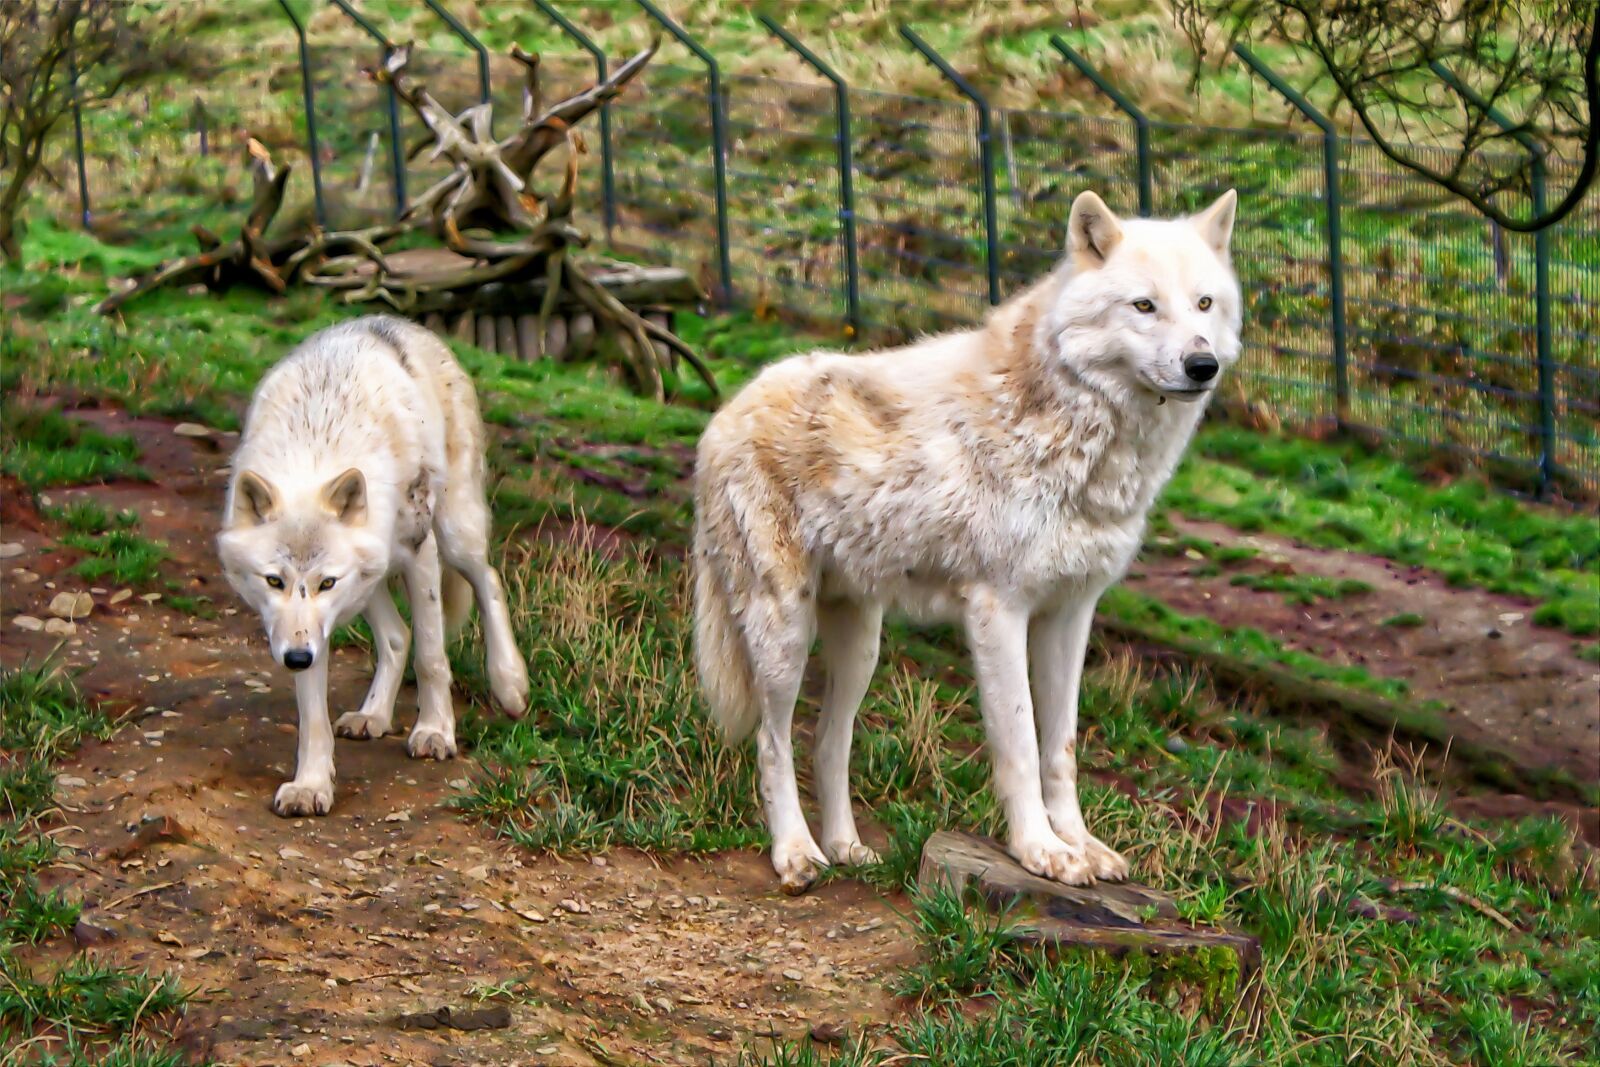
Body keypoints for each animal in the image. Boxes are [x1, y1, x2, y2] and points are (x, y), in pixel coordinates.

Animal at [218, 315, 529, 817]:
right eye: (274, 580)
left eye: (326, 581)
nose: (297, 658)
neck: (316, 448)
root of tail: (398, 323)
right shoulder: (308, 630)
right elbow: (313, 715)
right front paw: (310, 785)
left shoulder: (419, 551)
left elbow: (432, 657)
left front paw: (436, 732)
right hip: (372, 580)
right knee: (396, 635)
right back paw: (373, 715)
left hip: (454, 533)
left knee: (488, 580)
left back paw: (510, 683)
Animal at [693, 189, 1240, 892]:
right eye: (1144, 306)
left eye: (1204, 304)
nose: (1203, 365)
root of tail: (723, 413)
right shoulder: (998, 612)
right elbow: (1022, 744)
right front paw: (1041, 852)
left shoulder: (1071, 614)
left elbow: (1062, 748)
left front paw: (1082, 847)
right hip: (783, 632)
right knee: (772, 740)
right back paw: (796, 854)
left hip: (861, 643)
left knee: (828, 743)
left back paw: (845, 849)